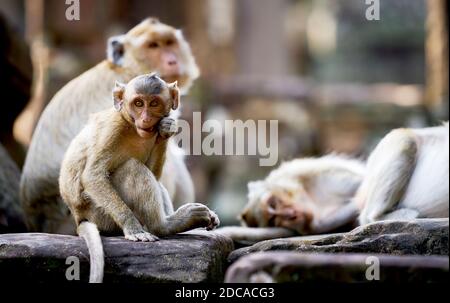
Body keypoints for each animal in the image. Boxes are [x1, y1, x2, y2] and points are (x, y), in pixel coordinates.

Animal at [60, 74, 220, 284]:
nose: (145, 118)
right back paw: (164, 226)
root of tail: (79, 217)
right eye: (138, 103)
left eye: (154, 103)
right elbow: (93, 175)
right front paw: (133, 228)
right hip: (101, 215)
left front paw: (166, 130)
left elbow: (154, 172)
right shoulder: (112, 129)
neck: (130, 125)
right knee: (132, 168)